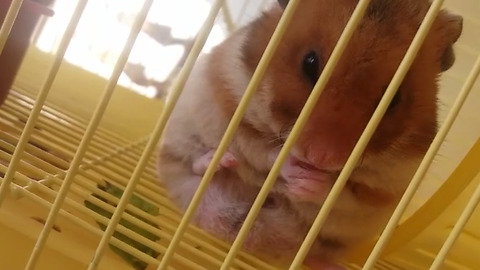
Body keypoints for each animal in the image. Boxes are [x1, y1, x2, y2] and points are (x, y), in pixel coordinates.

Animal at [157, 1, 462, 268]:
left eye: (395, 98)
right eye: (310, 63)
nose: (321, 158)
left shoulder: (387, 186)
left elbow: (342, 193)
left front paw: (308, 184)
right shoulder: (233, 106)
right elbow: (266, 153)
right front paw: (295, 173)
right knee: (195, 167)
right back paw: (218, 161)